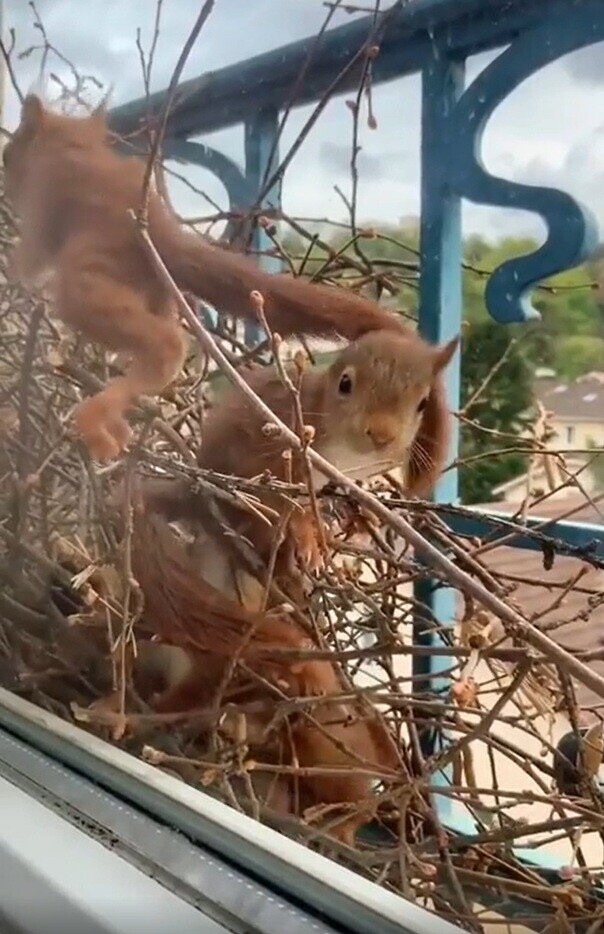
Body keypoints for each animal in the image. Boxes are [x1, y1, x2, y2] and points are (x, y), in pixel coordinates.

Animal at [3, 95, 408, 463]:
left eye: (9, 152)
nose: (6, 176)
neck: (72, 142)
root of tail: (165, 237)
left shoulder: (41, 212)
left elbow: (28, 261)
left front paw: (14, 271)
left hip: (87, 288)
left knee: (166, 345)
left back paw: (98, 422)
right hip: (154, 296)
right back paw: (119, 426)